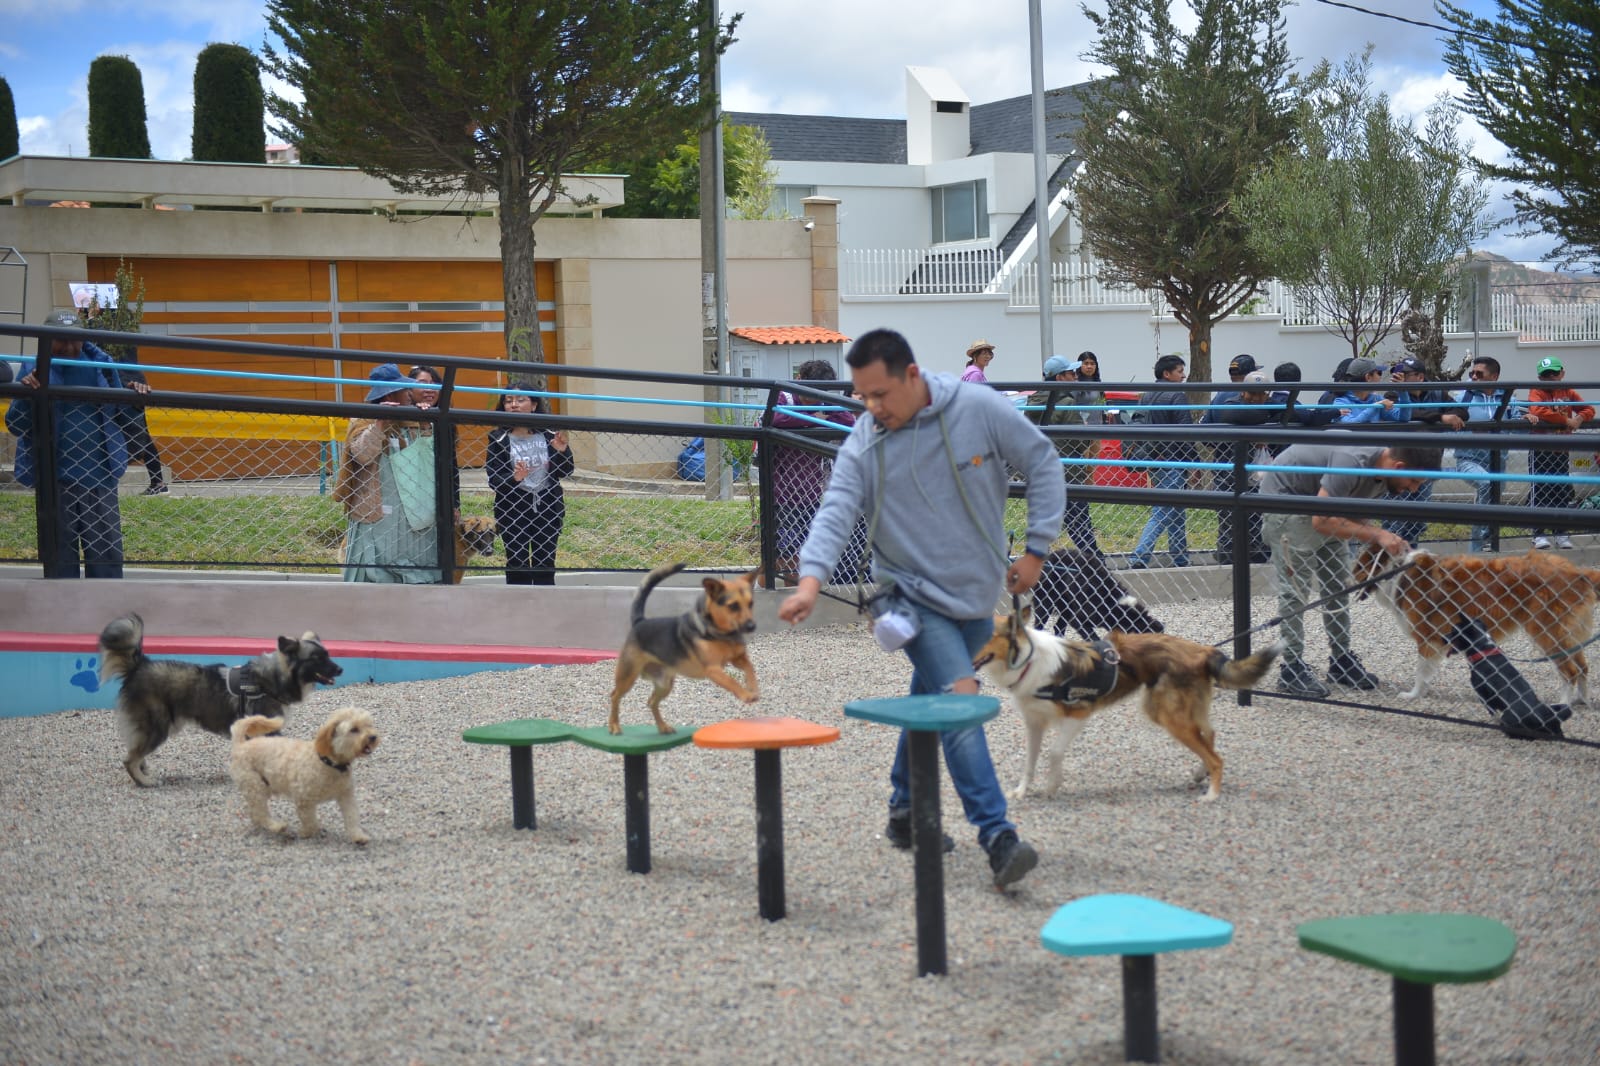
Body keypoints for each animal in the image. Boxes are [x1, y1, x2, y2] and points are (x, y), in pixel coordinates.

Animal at [99, 611, 344, 784]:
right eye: (317, 658)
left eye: (328, 655)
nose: (340, 669)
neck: (273, 678)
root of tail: (140, 665)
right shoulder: (266, 729)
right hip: (158, 727)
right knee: (130, 759)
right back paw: (145, 781)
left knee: (135, 753)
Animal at [227, 704, 379, 838]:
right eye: (354, 729)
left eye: (369, 725)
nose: (373, 737)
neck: (328, 763)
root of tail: (241, 745)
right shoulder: (303, 799)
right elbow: (310, 822)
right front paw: (306, 833)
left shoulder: (346, 795)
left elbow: (352, 817)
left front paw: (358, 836)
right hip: (255, 787)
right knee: (260, 813)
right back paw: (276, 826)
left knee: (254, 813)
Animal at [966, 605, 1280, 797]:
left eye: (987, 636)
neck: (1028, 660)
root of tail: (1203, 650)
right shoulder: (1034, 723)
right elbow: (1029, 761)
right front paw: (1022, 791)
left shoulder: (1077, 715)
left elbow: (1054, 753)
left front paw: (1053, 785)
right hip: (1176, 709)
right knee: (1209, 735)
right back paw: (1199, 774)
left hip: (1166, 714)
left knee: (1215, 754)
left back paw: (1211, 795)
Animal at [1356, 544, 1593, 701]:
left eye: (1358, 568)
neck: (1396, 571)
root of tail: (1578, 572)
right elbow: (1426, 672)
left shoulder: (1426, 637)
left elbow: (1421, 671)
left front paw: (1413, 695)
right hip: (1568, 636)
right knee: (1583, 667)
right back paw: (1580, 701)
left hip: (1547, 632)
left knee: (1570, 672)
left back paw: (1563, 705)